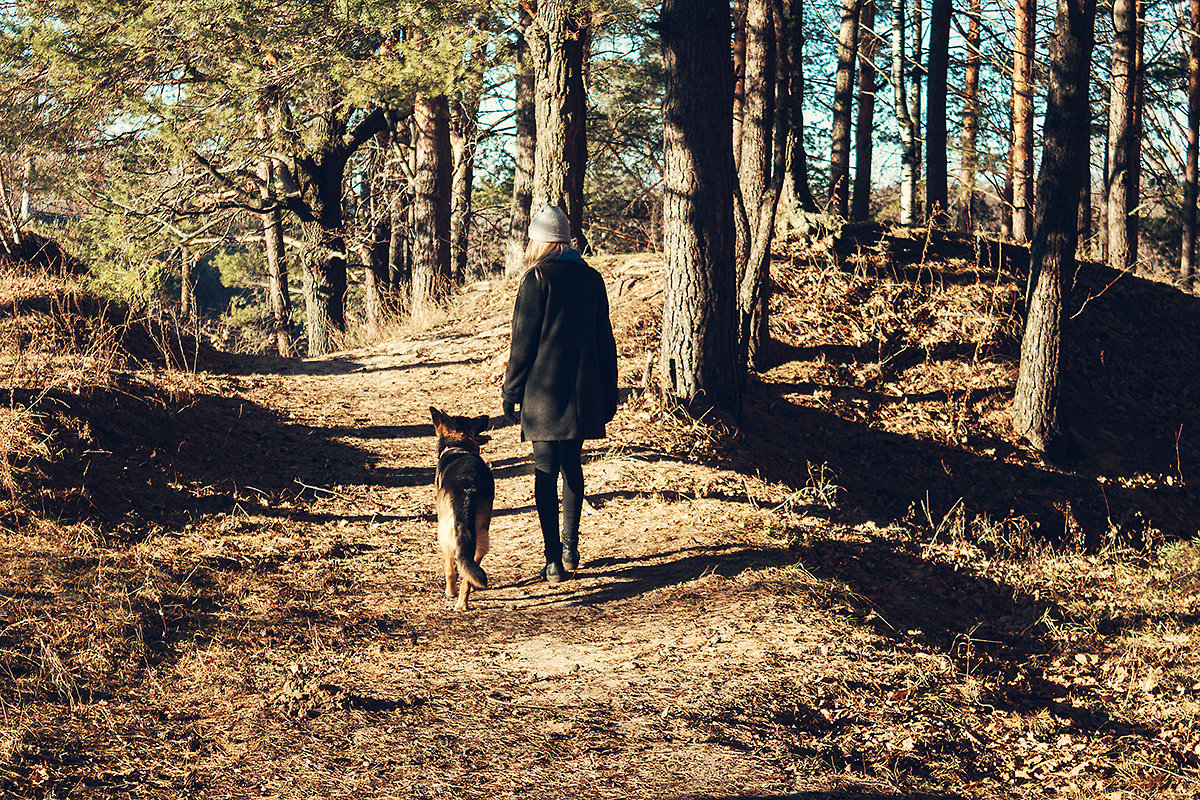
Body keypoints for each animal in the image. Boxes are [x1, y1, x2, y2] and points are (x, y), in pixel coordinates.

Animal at [432, 410, 492, 609]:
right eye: (471, 419)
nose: (487, 416)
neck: (456, 446)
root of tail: (467, 488)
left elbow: (449, 567)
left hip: (443, 533)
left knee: (451, 567)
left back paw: (451, 593)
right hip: (482, 535)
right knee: (468, 569)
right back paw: (463, 602)